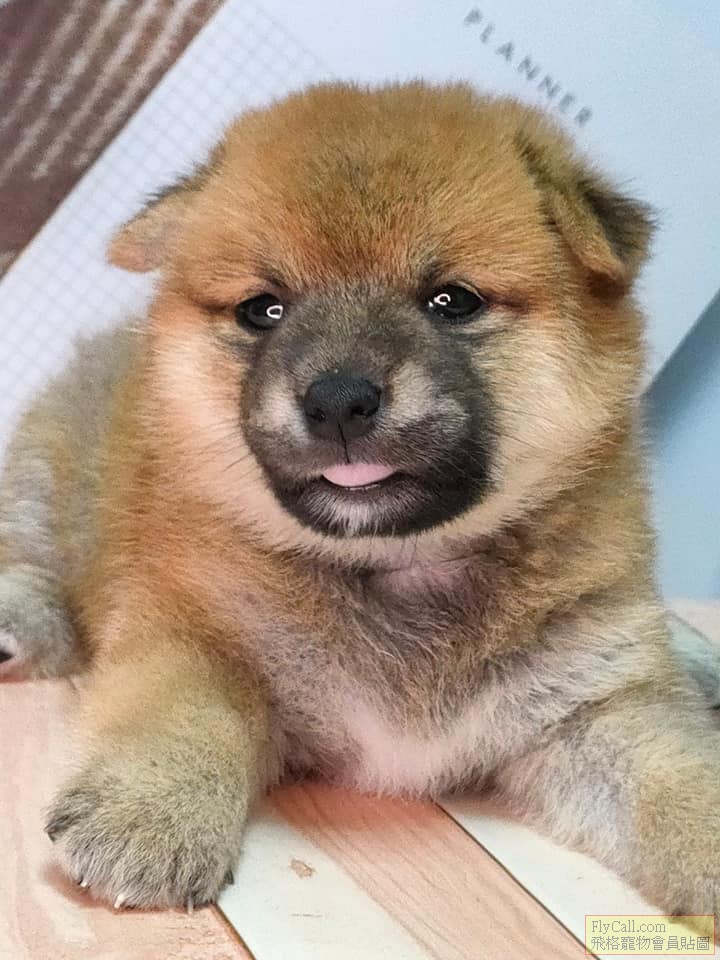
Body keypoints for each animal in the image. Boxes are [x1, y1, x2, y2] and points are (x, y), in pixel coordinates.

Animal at [1, 81, 719, 919]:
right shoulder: (194, 629)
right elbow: (184, 713)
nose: (338, 399)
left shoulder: (599, 706)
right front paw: (150, 811)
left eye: (452, 301)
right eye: (263, 310)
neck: (400, 566)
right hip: (51, 473)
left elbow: (683, 775)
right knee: (30, 552)